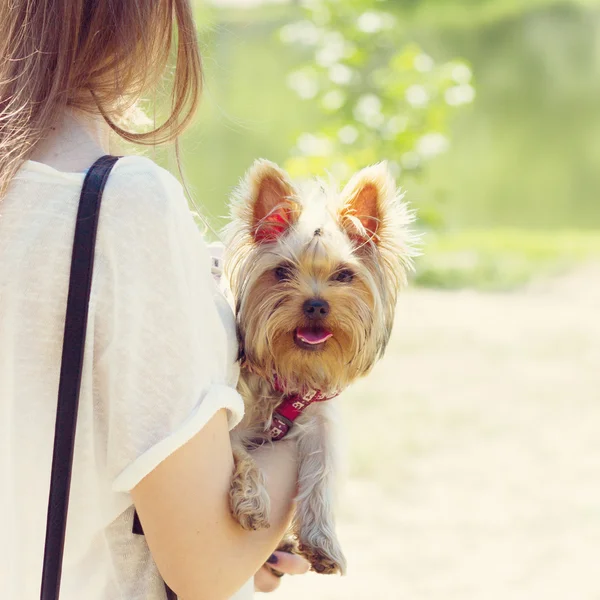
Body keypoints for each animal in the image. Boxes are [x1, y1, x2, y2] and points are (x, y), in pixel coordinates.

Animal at [223, 157, 414, 576]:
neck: (286, 371)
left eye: (344, 274)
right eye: (281, 272)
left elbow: (323, 468)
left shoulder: (318, 417)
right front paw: (252, 501)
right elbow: (240, 450)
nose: (315, 304)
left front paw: (322, 541)